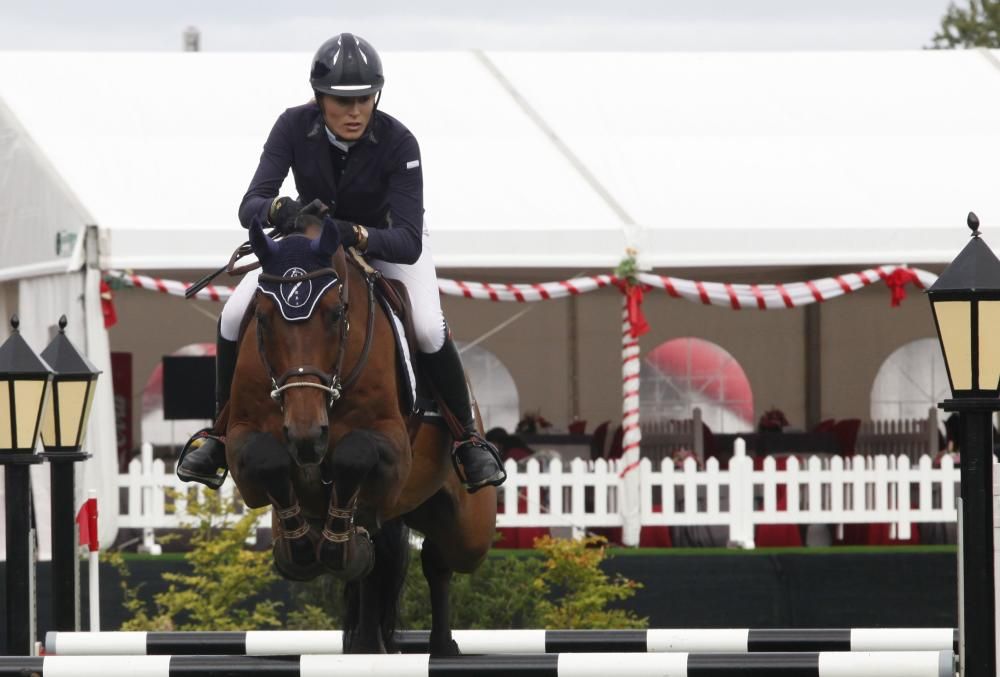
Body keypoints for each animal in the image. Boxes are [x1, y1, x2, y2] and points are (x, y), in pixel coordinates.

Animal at [223, 214, 496, 652]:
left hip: (470, 529)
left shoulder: (393, 446)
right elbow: (268, 458)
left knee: (440, 558)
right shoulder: (241, 442)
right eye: (262, 318)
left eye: (337, 313)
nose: (307, 436)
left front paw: (335, 544)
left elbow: (354, 455)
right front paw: (301, 544)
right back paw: (369, 640)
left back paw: (442, 644)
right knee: (379, 566)